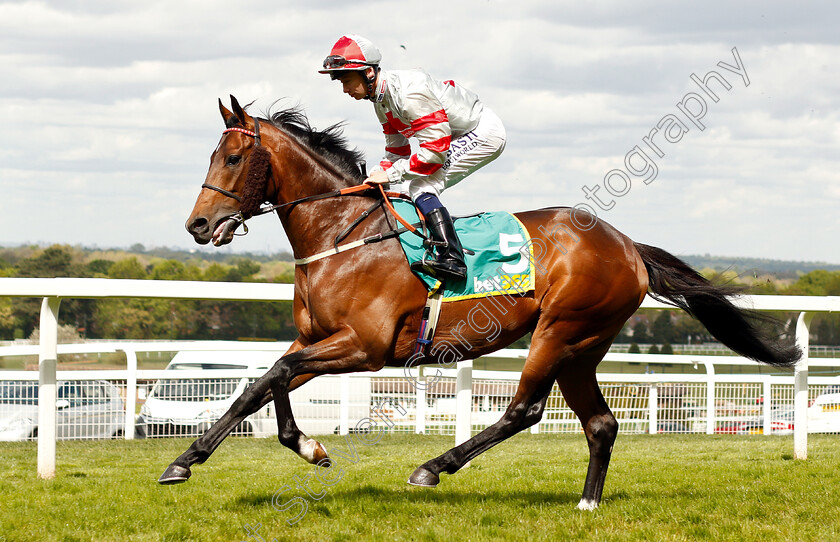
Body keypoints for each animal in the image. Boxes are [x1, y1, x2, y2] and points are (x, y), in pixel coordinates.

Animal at [164, 95, 800, 512]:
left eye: (232, 158)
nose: (198, 225)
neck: (341, 234)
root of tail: (628, 246)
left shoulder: (364, 347)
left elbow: (276, 372)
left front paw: (305, 446)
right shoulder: (317, 339)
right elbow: (260, 383)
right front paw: (190, 460)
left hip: (561, 330)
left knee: (525, 410)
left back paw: (433, 468)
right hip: (583, 347)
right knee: (600, 422)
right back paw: (587, 504)